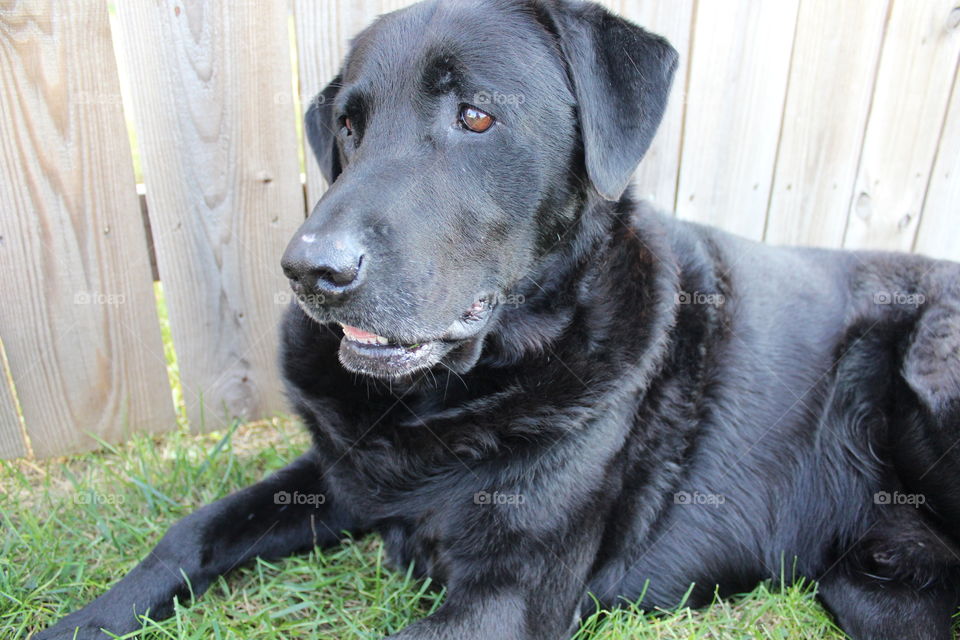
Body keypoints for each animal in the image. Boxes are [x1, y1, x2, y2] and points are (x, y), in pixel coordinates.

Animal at [35, 1, 960, 640]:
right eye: (348, 125)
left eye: (476, 116)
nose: (310, 273)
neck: (450, 396)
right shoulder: (338, 476)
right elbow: (189, 534)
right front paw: (82, 622)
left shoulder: (506, 599)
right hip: (873, 590)